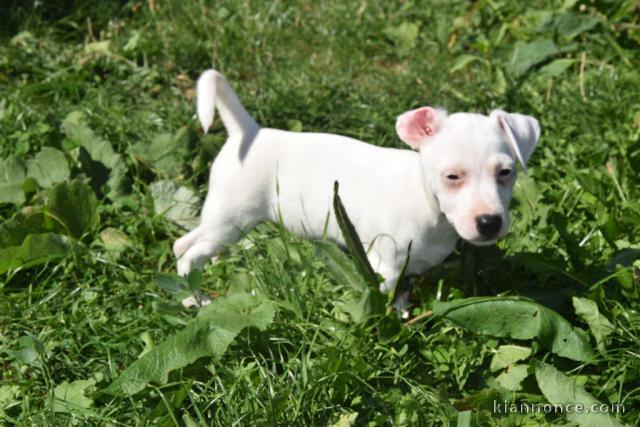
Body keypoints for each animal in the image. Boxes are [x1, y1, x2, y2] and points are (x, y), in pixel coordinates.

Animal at [171, 69, 540, 304]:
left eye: (506, 172)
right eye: (452, 177)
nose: (489, 222)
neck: (428, 207)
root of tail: (247, 131)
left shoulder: (409, 270)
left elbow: (401, 296)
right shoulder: (383, 267)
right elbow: (384, 300)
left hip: (223, 220)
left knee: (185, 244)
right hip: (231, 219)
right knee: (187, 252)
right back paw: (197, 298)